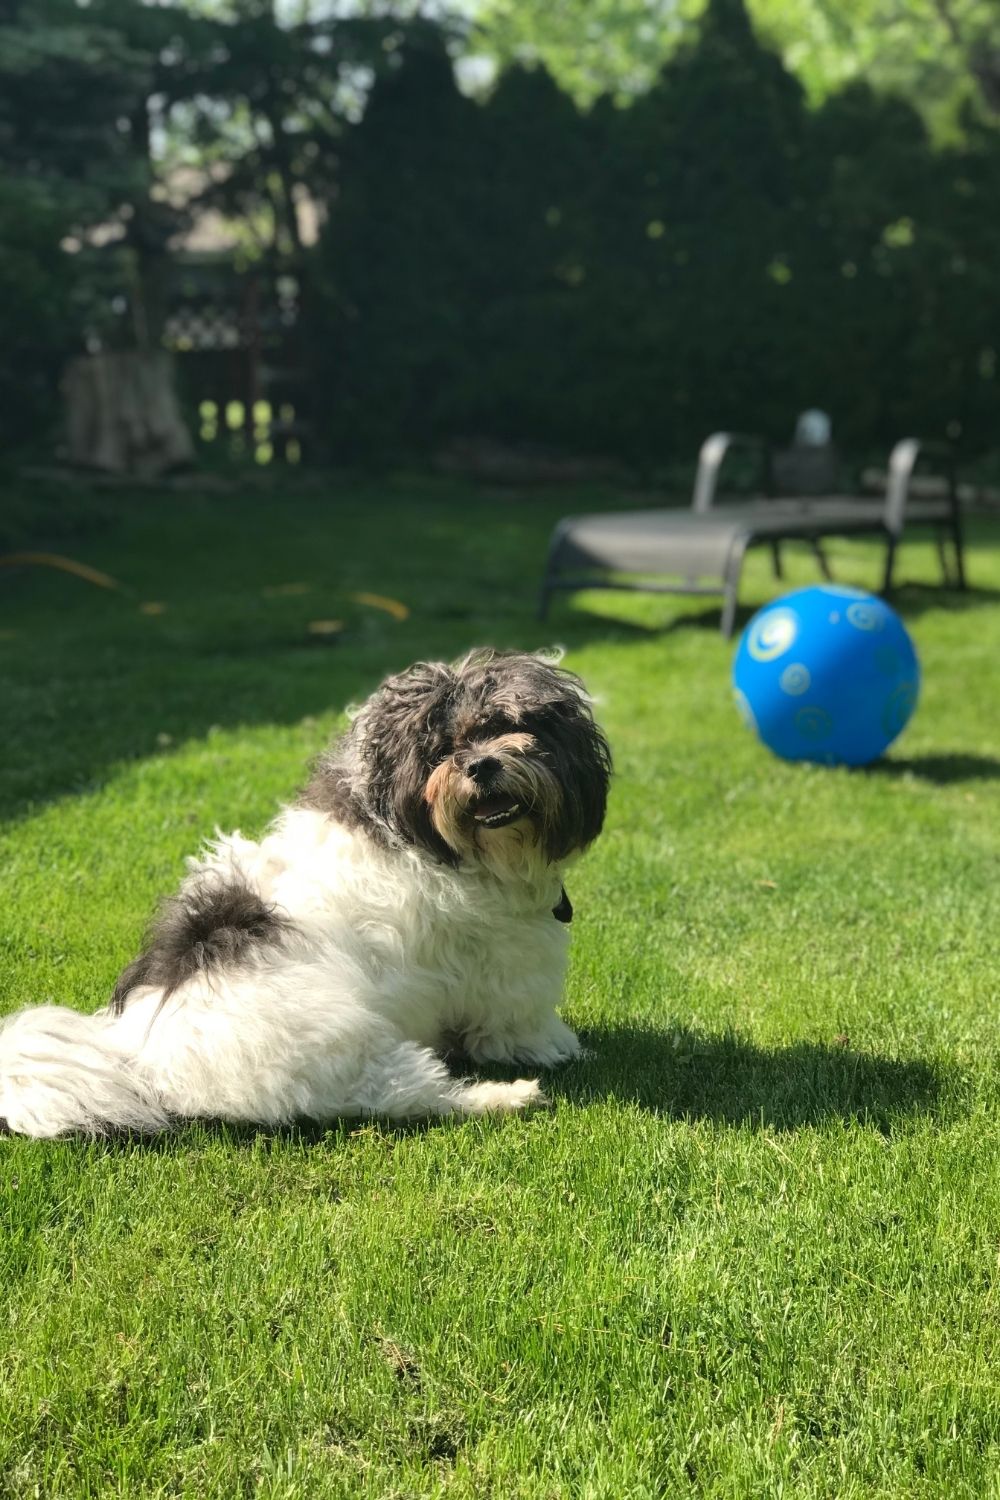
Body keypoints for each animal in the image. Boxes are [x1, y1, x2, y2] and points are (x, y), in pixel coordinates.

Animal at [0, 648, 611, 1134]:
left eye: (507, 724)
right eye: (440, 751)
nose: (480, 764)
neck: (423, 831)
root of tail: (139, 1054)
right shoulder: (505, 959)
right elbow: (516, 1019)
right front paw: (551, 1048)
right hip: (338, 1039)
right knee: (405, 1094)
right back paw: (505, 1097)